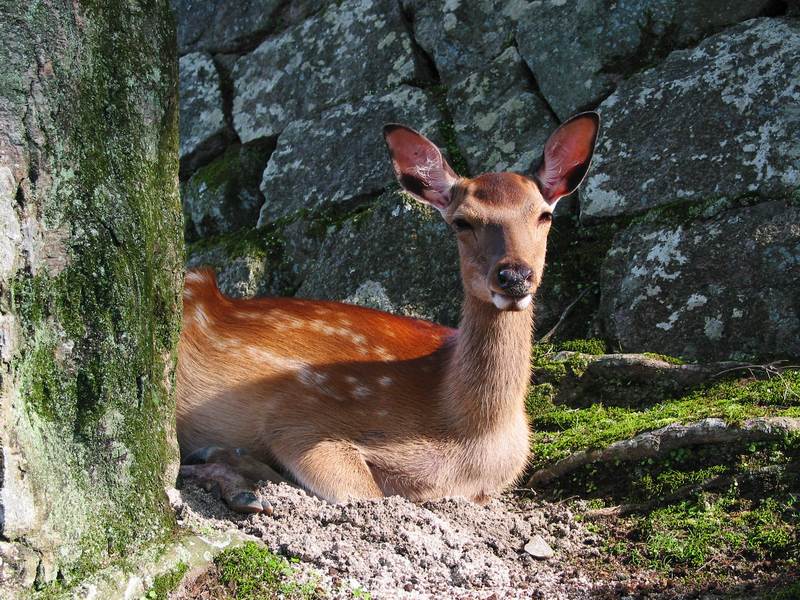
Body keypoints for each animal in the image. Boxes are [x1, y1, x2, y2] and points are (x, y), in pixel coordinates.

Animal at [177, 112, 600, 510]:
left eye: (544, 215)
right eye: (462, 221)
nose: (514, 276)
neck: (474, 437)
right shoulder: (300, 415)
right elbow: (363, 493)